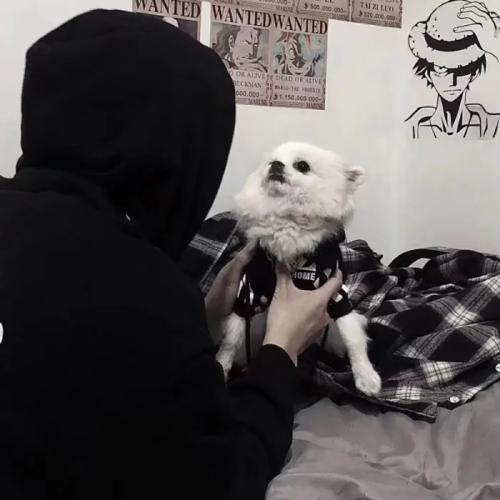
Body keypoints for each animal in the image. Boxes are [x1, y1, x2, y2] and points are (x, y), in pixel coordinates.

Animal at [216, 142, 381, 396]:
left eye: (302, 166)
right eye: (271, 161)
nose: (275, 165)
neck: (288, 221)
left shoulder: (336, 294)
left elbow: (352, 336)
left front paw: (366, 376)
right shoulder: (247, 295)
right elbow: (231, 339)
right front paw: (222, 367)